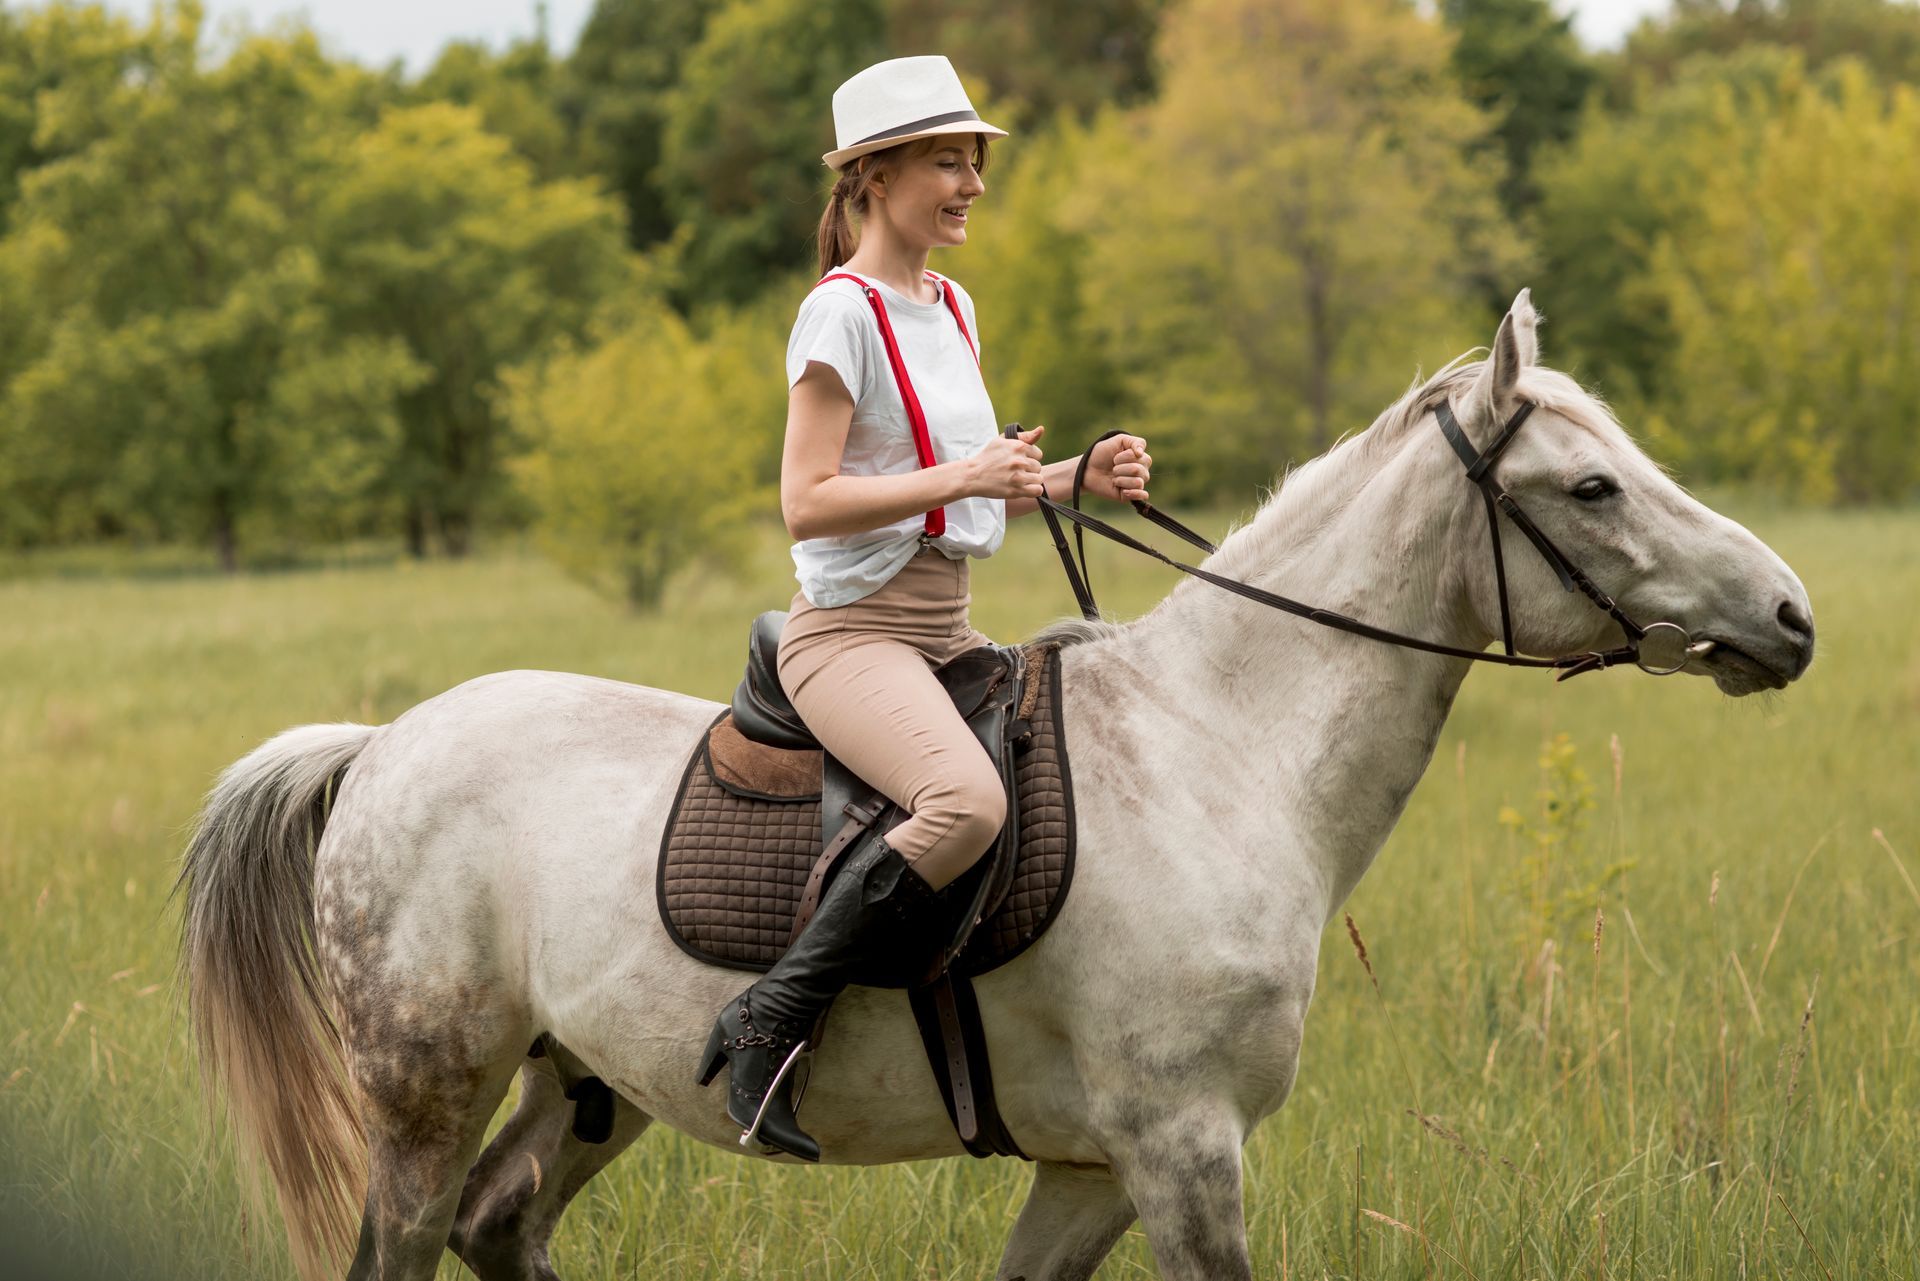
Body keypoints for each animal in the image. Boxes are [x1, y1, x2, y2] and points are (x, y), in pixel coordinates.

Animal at [180, 293, 1812, 1281]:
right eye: (1592, 489)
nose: (1792, 617)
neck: (1222, 755)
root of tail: (381, 745)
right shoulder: (1182, 1150)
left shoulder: (1095, 1167)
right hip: (424, 1089)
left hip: (581, 1081)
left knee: (501, 1223)